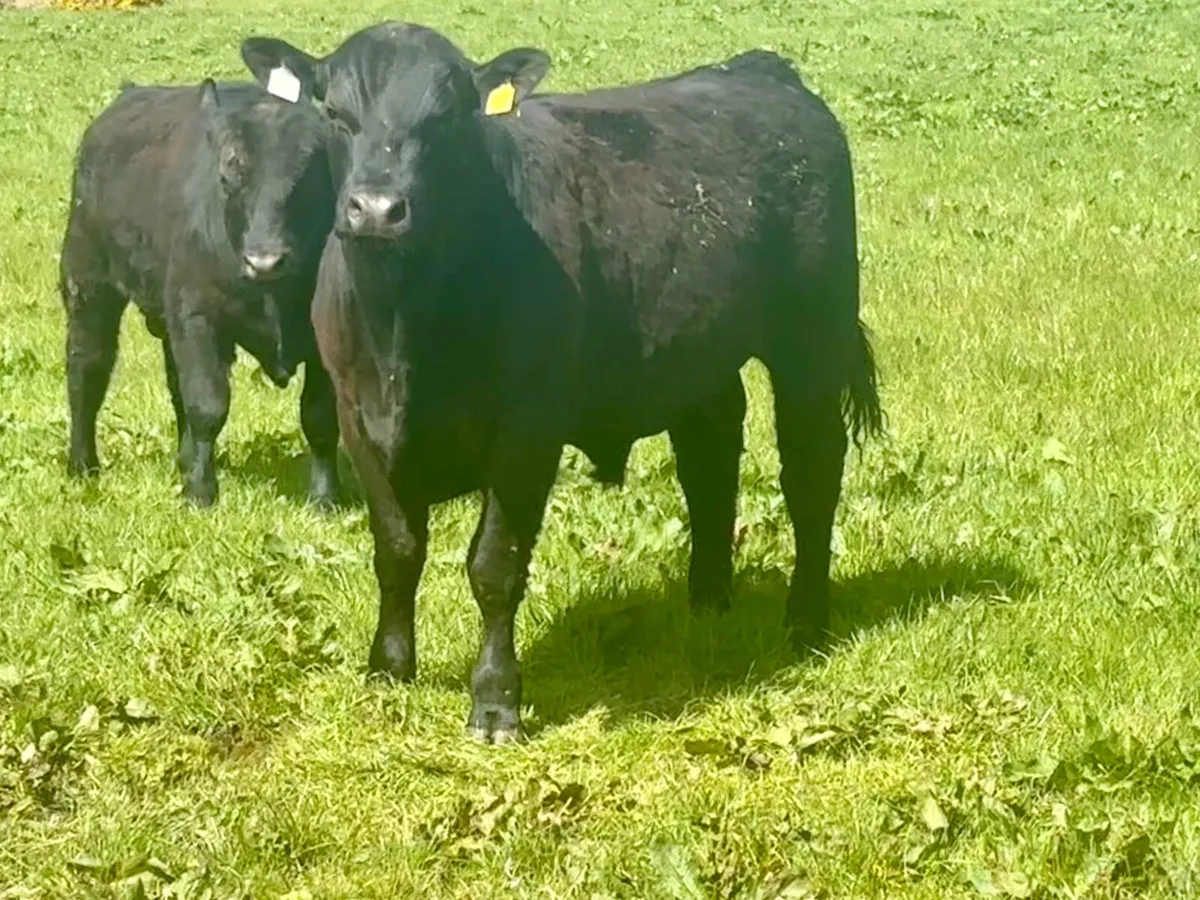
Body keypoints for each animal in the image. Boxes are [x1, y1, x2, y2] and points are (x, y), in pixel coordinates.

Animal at [61, 79, 339, 507]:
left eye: (309, 179)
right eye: (228, 178)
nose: (264, 261)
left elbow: (320, 416)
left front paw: (324, 499)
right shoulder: (198, 317)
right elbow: (207, 405)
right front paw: (201, 493)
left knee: (173, 384)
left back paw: (184, 460)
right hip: (88, 283)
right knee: (87, 369)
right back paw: (83, 465)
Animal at [239, 22, 883, 742]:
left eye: (447, 117)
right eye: (334, 113)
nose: (376, 209)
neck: (403, 326)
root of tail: (758, 69)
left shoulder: (527, 431)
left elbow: (495, 567)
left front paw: (495, 702)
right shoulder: (358, 419)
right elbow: (397, 551)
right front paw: (388, 668)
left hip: (812, 336)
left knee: (811, 471)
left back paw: (806, 618)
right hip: (698, 354)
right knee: (710, 457)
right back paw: (709, 597)